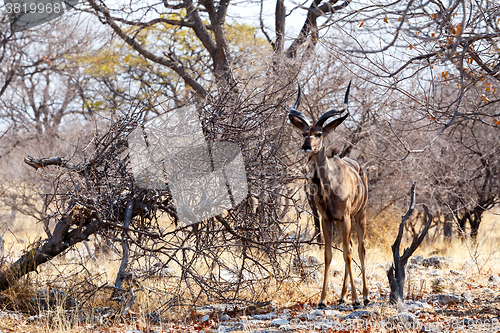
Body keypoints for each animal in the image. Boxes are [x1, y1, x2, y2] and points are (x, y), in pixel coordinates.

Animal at [288, 83, 370, 308]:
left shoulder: (345, 217)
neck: (329, 186)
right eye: (304, 133)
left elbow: (349, 255)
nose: (306, 147)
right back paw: (342, 296)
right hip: (343, 222)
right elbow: (328, 254)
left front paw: (356, 299)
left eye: (318, 133)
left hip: (359, 216)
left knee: (360, 249)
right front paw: (323, 300)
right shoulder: (326, 219)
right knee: (348, 247)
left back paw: (365, 296)